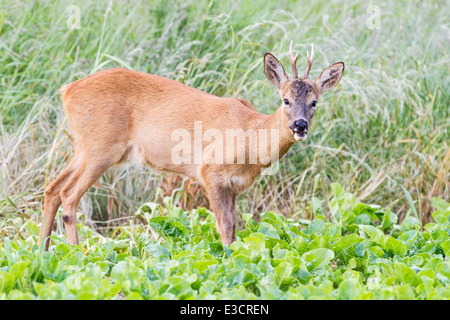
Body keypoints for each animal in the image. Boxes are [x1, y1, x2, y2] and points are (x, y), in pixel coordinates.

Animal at [38, 42, 344, 248]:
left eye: (314, 102)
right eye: (286, 100)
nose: (300, 126)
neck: (251, 138)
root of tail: (67, 90)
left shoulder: (233, 185)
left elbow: (234, 226)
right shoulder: (211, 171)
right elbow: (225, 225)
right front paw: (229, 263)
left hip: (83, 146)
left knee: (52, 188)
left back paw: (44, 252)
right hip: (102, 147)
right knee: (69, 195)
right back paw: (79, 255)